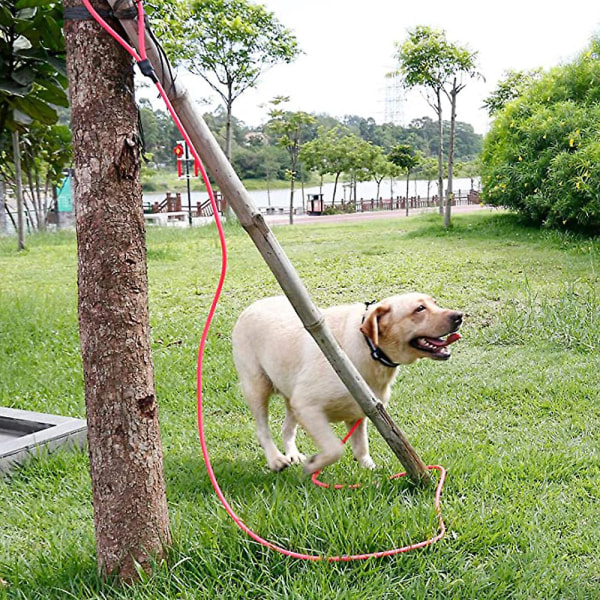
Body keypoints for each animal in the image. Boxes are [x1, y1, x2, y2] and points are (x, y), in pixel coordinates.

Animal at [232, 292, 462, 476]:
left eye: (435, 303)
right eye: (419, 309)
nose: (459, 316)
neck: (369, 349)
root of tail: (252, 306)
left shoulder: (360, 411)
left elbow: (361, 447)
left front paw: (369, 470)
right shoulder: (307, 406)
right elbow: (335, 448)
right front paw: (314, 465)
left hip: (290, 395)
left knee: (286, 428)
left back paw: (292, 455)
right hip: (257, 386)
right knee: (263, 430)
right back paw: (276, 460)